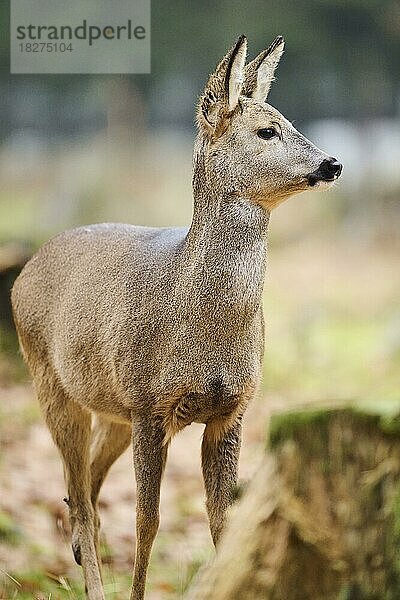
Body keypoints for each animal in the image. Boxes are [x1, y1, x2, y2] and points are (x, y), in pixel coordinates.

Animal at [11, 35, 344, 596]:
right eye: (267, 129)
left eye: (289, 121)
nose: (332, 164)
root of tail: (23, 270)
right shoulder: (150, 404)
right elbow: (148, 521)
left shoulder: (231, 410)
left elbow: (224, 520)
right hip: (52, 385)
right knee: (82, 498)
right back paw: (94, 582)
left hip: (112, 405)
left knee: (86, 490)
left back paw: (78, 555)